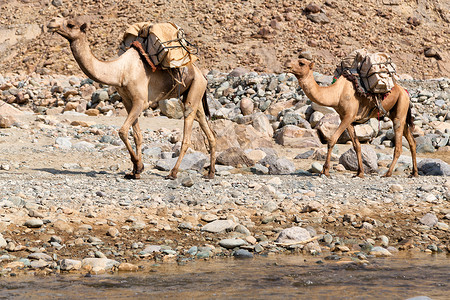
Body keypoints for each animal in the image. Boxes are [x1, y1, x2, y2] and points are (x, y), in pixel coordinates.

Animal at [48, 16, 217, 179]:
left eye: (70, 24)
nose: (51, 22)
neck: (120, 71)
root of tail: (201, 75)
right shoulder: (128, 101)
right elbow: (137, 136)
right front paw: (135, 171)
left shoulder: (140, 101)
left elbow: (123, 131)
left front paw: (138, 166)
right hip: (195, 93)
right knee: (207, 127)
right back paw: (210, 173)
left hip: (195, 89)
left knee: (187, 132)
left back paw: (173, 173)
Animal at [290, 57, 420, 177]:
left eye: (301, 63)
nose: (287, 64)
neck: (337, 93)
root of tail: (405, 91)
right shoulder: (346, 117)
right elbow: (356, 145)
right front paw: (360, 173)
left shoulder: (349, 115)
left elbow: (332, 140)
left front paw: (325, 171)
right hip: (398, 113)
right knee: (412, 141)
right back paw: (414, 173)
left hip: (400, 109)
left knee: (398, 147)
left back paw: (387, 173)